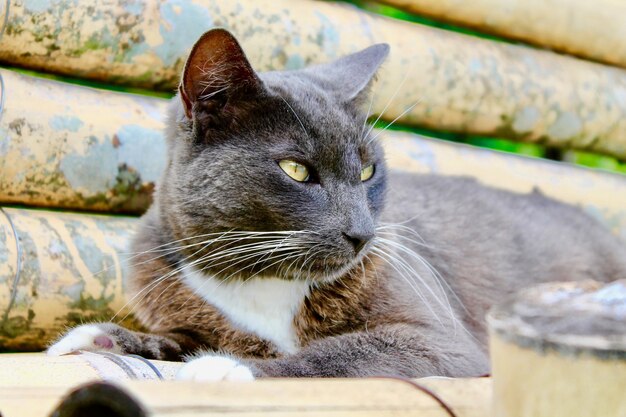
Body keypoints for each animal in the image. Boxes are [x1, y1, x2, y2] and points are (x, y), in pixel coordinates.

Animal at [48, 28, 624, 380]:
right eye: (297, 170)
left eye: (368, 170)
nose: (362, 233)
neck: (263, 280)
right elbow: (177, 335)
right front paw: (103, 338)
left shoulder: (439, 340)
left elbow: (337, 351)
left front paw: (226, 366)